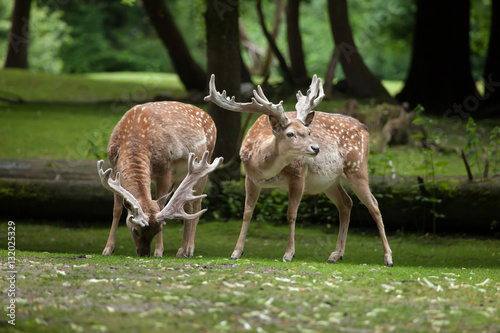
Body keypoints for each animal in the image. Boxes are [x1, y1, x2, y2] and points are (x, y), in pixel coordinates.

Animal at [96, 101, 222, 256]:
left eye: (159, 229)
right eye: (135, 230)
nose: (144, 253)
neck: (135, 138)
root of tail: (210, 118)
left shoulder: (165, 168)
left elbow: (161, 207)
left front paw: (159, 251)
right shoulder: (113, 168)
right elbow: (117, 209)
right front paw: (108, 249)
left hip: (206, 163)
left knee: (197, 205)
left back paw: (189, 249)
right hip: (182, 177)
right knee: (187, 206)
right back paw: (181, 250)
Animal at [205, 74, 392, 266]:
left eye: (308, 132)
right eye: (290, 134)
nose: (316, 148)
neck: (263, 168)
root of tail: (366, 128)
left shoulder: (298, 175)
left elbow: (291, 214)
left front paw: (289, 253)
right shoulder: (250, 178)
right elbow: (247, 213)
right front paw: (236, 252)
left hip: (357, 168)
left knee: (374, 205)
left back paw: (388, 258)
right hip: (330, 181)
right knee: (346, 203)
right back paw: (335, 255)